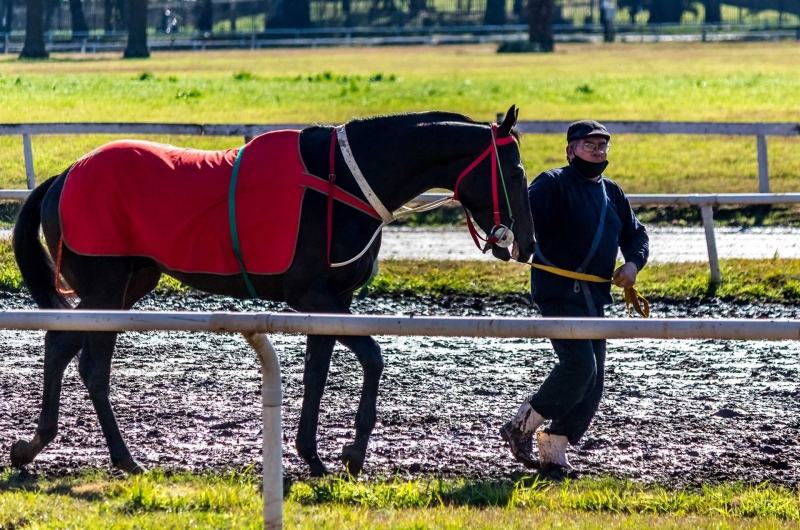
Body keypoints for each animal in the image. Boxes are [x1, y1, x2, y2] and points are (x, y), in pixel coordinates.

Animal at [10, 103, 532, 474]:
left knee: (60, 344)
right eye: (515, 172)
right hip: (105, 288)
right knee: (92, 367)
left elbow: (317, 373)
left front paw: (314, 454)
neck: (341, 183)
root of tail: (64, 175)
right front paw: (353, 452)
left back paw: (32, 445)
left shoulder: (332, 300)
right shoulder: (315, 297)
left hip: (126, 286)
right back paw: (123, 457)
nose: (526, 243)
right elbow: (373, 358)